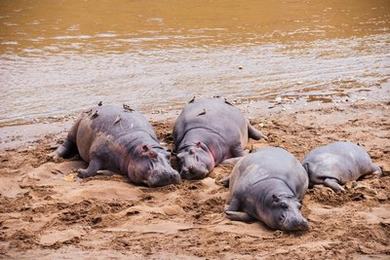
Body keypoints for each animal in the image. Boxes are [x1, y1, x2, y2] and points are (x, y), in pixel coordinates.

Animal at [50, 103, 181, 187]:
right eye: (151, 154)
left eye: (169, 155)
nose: (170, 174)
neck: (134, 150)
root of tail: (94, 107)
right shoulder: (96, 154)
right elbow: (92, 168)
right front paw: (80, 172)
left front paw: (102, 172)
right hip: (74, 128)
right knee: (67, 143)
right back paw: (53, 157)